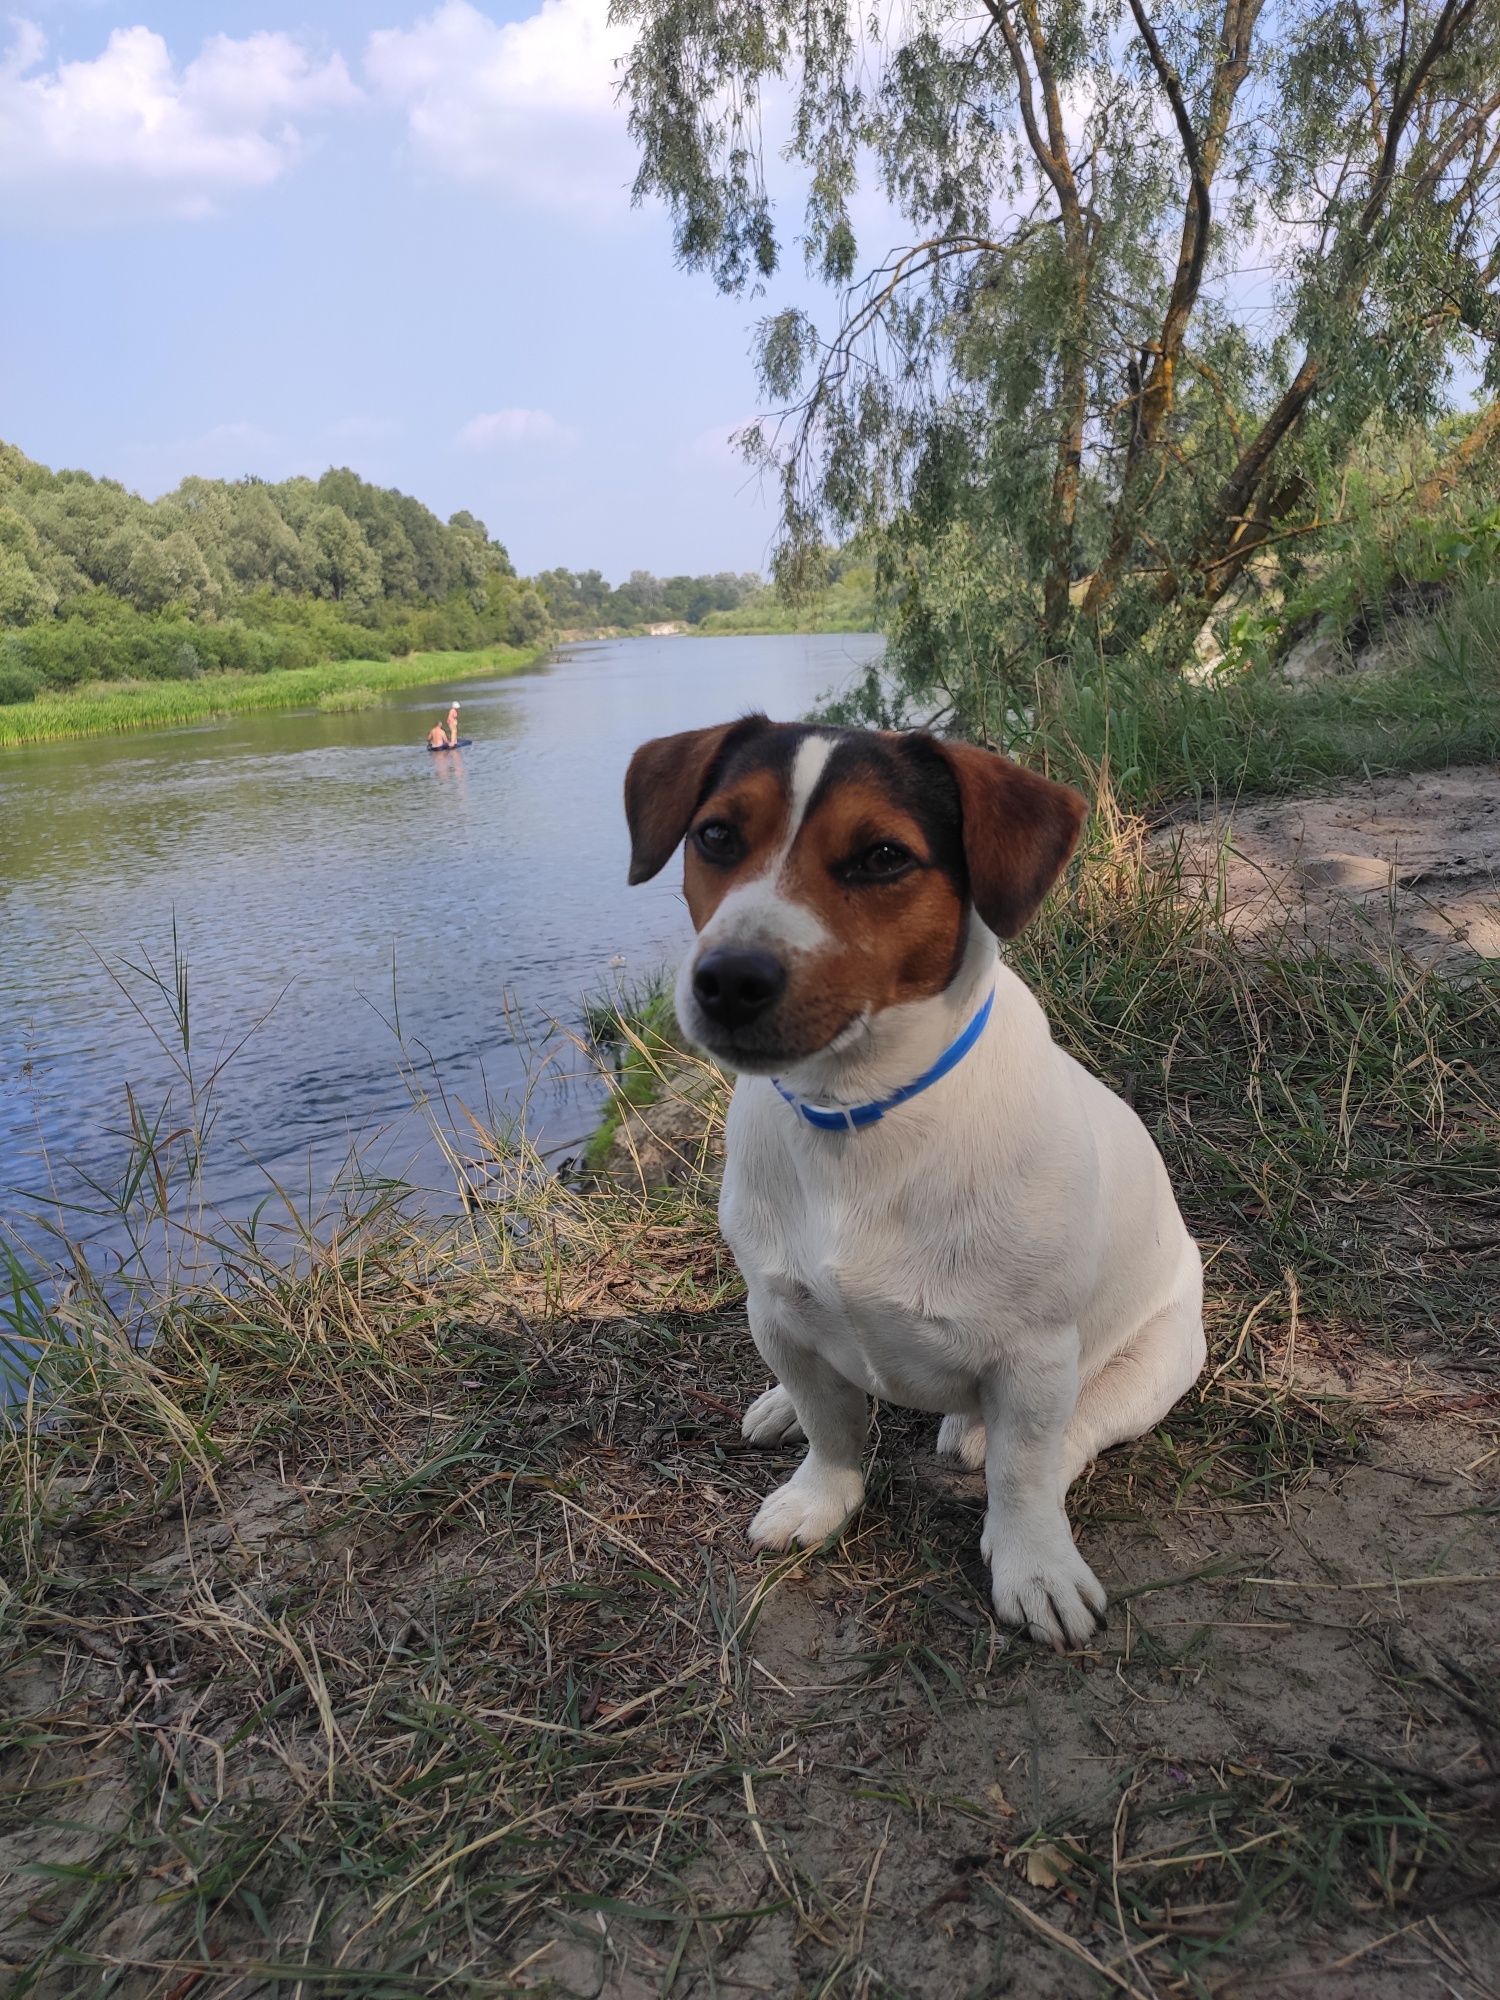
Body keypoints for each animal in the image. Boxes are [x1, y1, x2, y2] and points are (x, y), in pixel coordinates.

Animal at [624, 716, 1208, 1640]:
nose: (728, 980)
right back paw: (781, 1405)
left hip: (1147, 1367)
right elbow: (831, 1426)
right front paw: (820, 1495)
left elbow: (1024, 1472)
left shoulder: (1035, 1359)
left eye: (883, 856)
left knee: (1065, 1443)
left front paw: (1033, 1564)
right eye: (716, 836)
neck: (859, 1113)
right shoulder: (775, 1311)